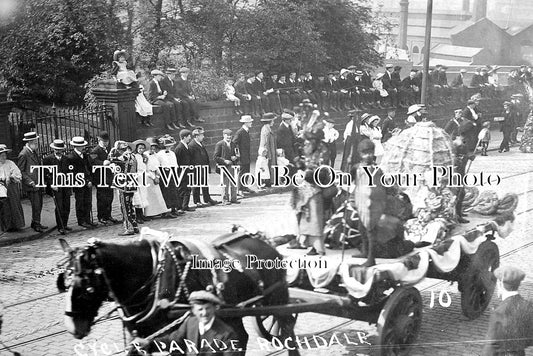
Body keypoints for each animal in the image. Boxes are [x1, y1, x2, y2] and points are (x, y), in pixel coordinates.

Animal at [57, 229, 300, 354]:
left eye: (87, 286)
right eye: (65, 282)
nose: (72, 326)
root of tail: (266, 240)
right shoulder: (144, 340)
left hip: (277, 299)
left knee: (287, 328)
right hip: (233, 311)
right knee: (241, 336)